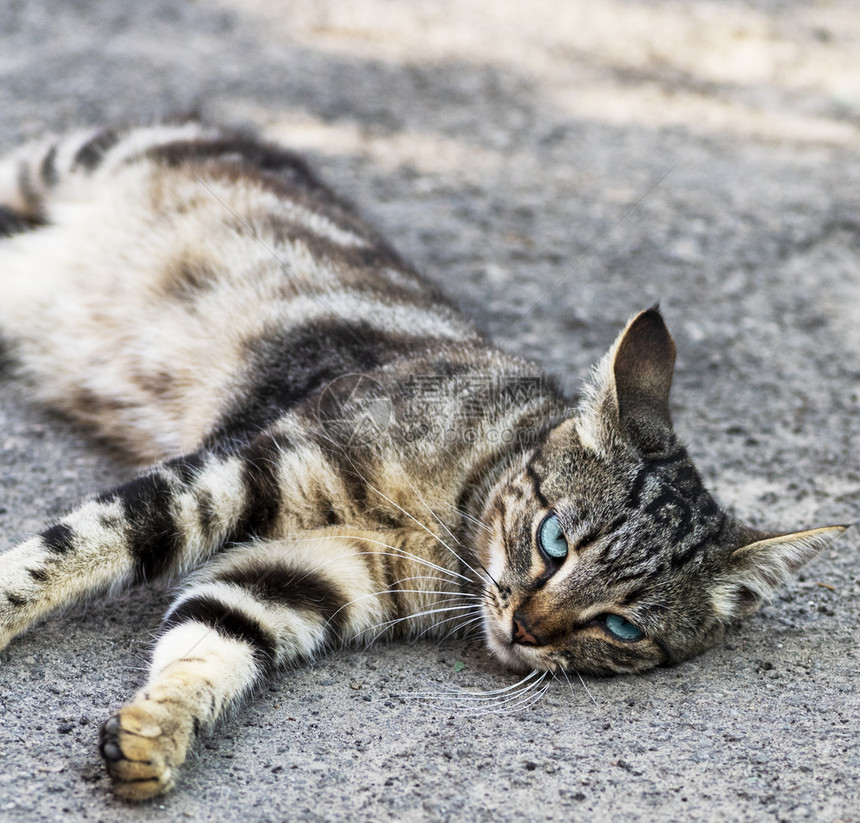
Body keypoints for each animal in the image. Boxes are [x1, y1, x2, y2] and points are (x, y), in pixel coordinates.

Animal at [0, 125, 848, 800]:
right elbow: (68, 551)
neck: (449, 530)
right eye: (553, 541)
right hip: (61, 164)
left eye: (622, 626)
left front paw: (157, 733)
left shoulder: (294, 576)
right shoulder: (244, 469)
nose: (527, 629)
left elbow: (208, 642)